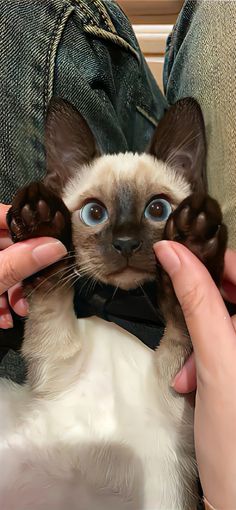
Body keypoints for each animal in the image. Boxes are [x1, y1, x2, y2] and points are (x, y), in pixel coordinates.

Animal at [0, 96, 227, 510]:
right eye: (94, 214)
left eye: (158, 211)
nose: (124, 243)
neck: (122, 304)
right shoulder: (56, 356)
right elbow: (51, 283)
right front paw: (39, 219)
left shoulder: (177, 391)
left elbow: (182, 316)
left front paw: (194, 241)